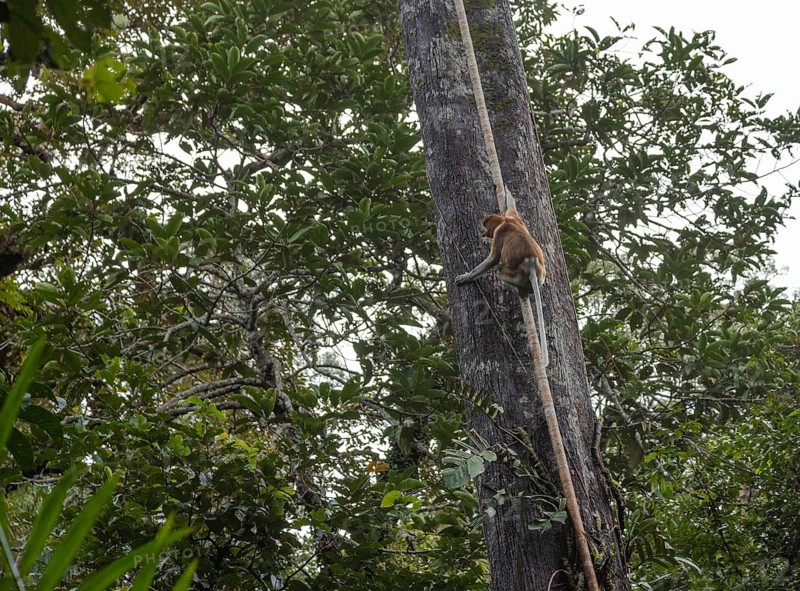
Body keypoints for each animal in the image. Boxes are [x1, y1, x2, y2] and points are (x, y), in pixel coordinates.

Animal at [455, 189, 549, 367]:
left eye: (486, 226)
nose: (484, 233)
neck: (504, 221)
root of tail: (531, 264)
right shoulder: (514, 217)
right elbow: (512, 206)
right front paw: (505, 190)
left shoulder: (499, 233)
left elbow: (492, 259)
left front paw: (465, 277)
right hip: (542, 276)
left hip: (514, 274)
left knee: (499, 269)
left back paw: (521, 292)